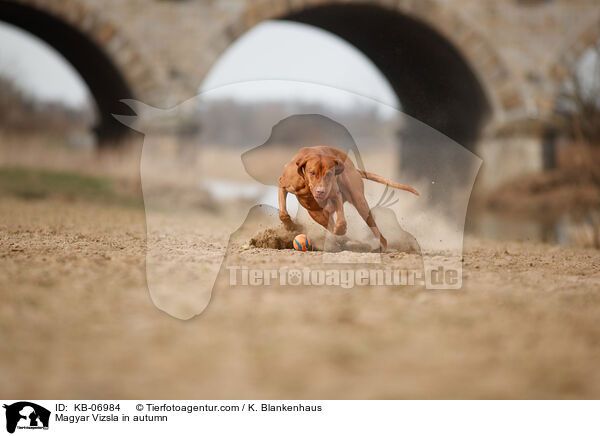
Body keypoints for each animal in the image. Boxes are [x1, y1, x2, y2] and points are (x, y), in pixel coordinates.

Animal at [276, 146, 418, 250]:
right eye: (312, 172)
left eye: (329, 174)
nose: (321, 191)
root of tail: (354, 169)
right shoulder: (284, 183)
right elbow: (283, 214)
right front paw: (290, 226)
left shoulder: (335, 194)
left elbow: (341, 222)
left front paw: (341, 230)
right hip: (316, 213)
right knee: (327, 221)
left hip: (360, 203)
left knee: (378, 233)